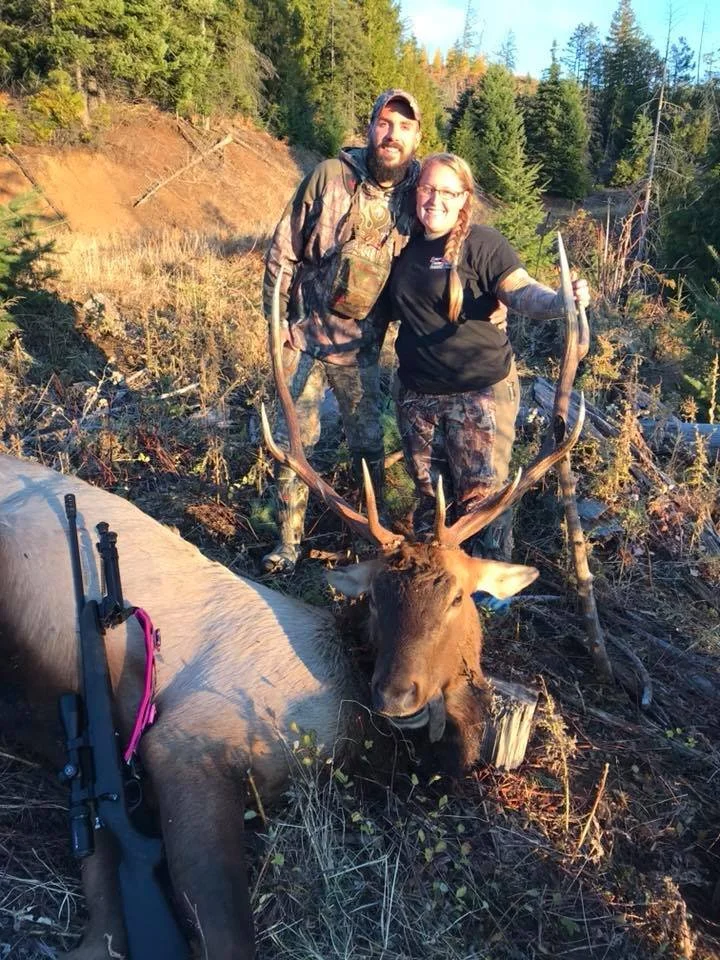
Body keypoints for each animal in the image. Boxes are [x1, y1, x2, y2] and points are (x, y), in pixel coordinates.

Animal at [0, 258, 585, 959]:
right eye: (376, 599)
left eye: (456, 597)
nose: (396, 695)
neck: (356, 732)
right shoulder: (181, 740)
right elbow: (220, 928)